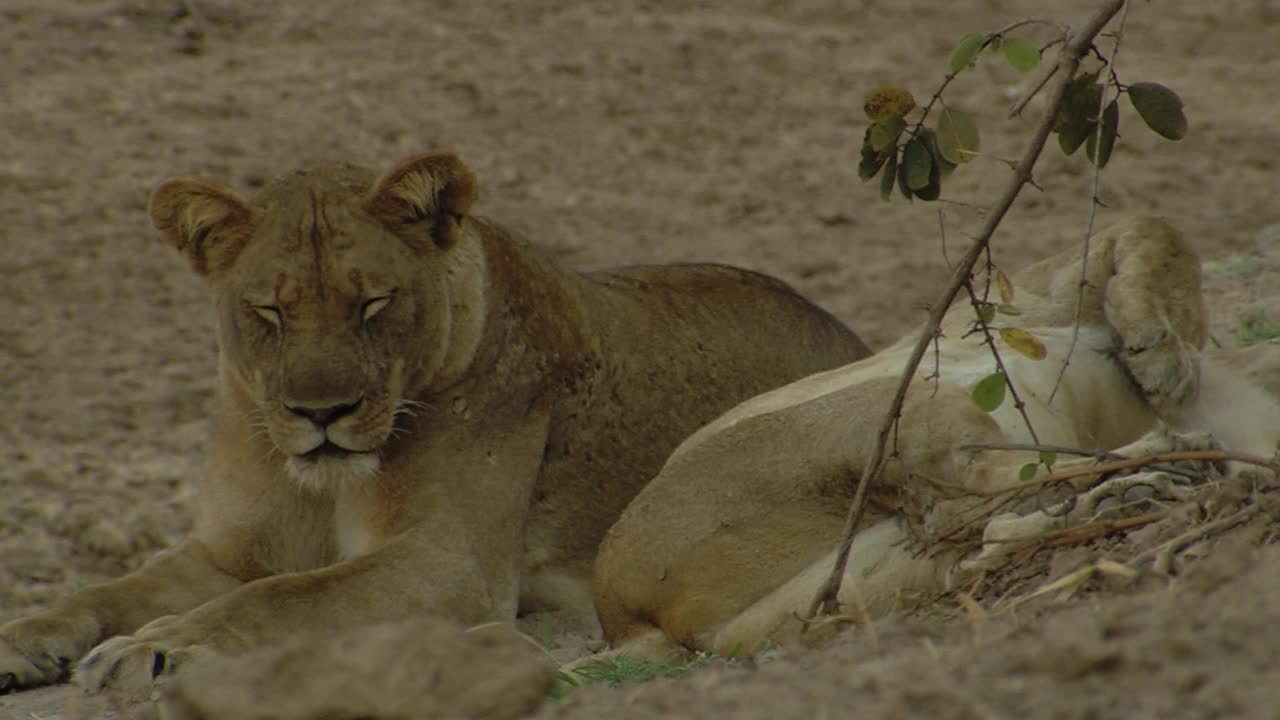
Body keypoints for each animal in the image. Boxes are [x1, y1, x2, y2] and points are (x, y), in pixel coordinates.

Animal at [0, 149, 870, 691]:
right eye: (270, 311)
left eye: (373, 304)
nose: (322, 414)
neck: (319, 482)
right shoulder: (231, 553)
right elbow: (110, 588)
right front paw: (24, 638)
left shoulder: (451, 563)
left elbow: (285, 598)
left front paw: (162, 645)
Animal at [596, 215, 1280, 661]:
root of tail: (620, 611)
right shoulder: (1028, 293)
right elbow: (1154, 228)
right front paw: (1159, 353)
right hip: (895, 407)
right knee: (986, 493)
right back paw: (1162, 463)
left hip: (855, 581)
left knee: (976, 532)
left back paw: (1136, 491)